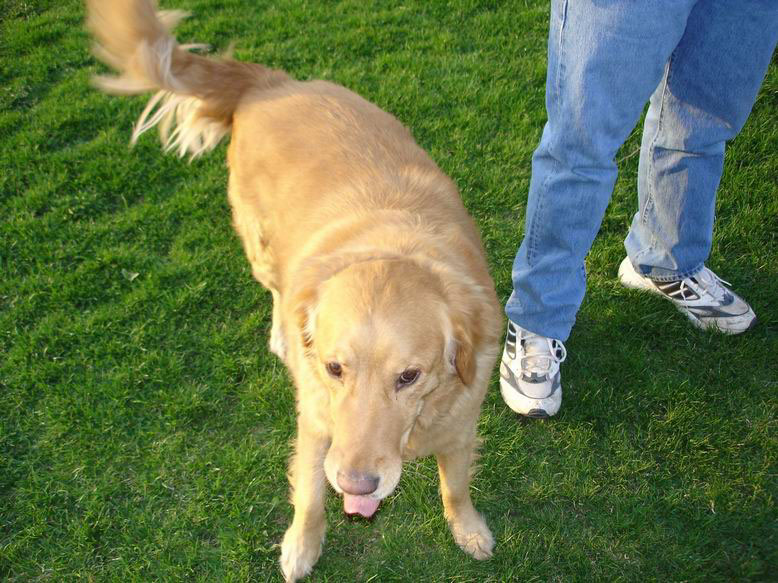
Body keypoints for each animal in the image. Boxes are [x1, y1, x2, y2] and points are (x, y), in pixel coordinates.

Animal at [85, 1, 502, 580]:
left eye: (410, 376)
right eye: (333, 368)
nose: (357, 485)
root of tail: (271, 82)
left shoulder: (461, 422)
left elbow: (455, 486)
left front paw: (469, 529)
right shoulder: (316, 421)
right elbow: (309, 493)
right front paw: (301, 546)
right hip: (260, 245)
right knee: (277, 291)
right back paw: (283, 333)